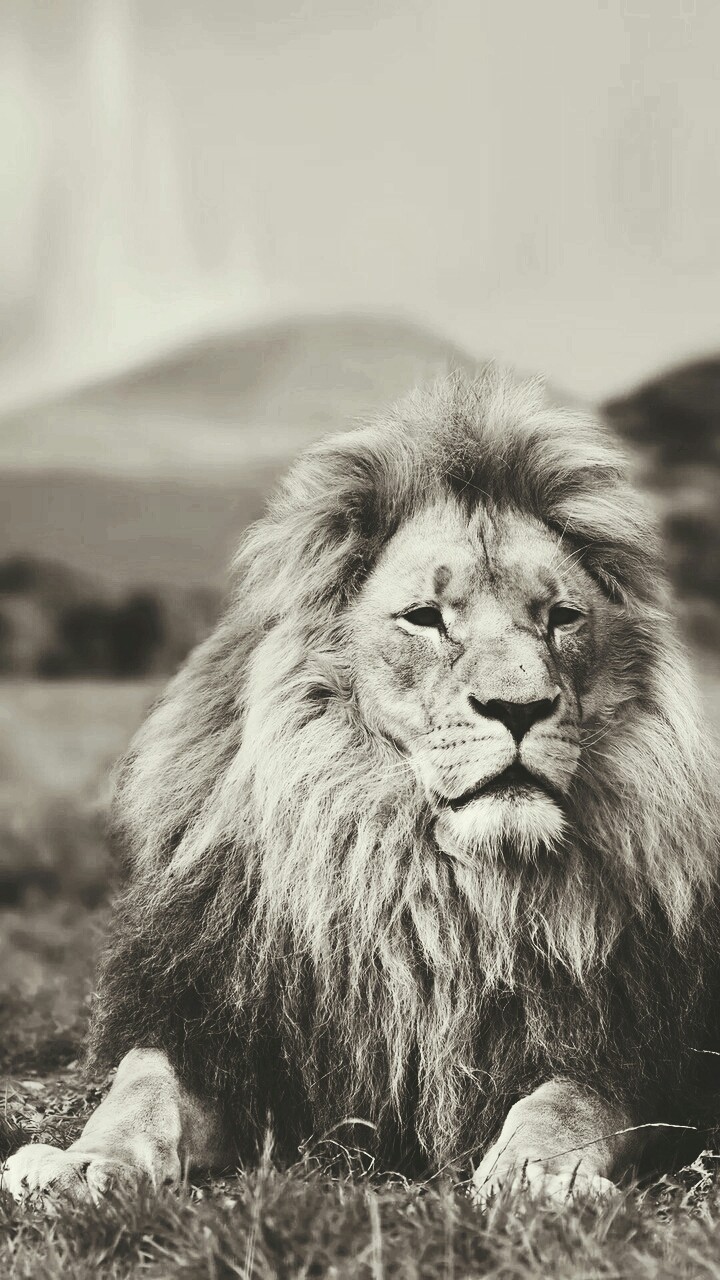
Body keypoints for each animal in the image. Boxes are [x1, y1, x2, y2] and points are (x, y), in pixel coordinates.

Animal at [4, 367, 720, 1206]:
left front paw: (539, 1172)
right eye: (425, 618)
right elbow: (142, 1088)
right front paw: (79, 1162)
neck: (435, 886)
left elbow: (572, 1098)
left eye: (563, 617)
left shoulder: (644, 1047)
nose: (520, 707)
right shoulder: (218, 1018)